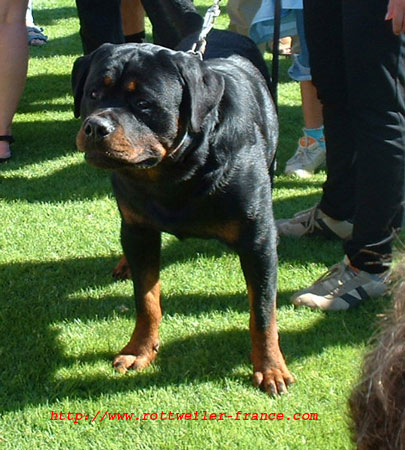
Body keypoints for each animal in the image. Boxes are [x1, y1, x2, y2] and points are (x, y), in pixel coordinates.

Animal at [71, 7, 292, 396]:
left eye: (143, 104)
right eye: (93, 93)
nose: (96, 127)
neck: (174, 173)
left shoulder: (258, 242)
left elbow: (264, 310)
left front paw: (270, 367)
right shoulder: (140, 229)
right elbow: (146, 299)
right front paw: (139, 349)